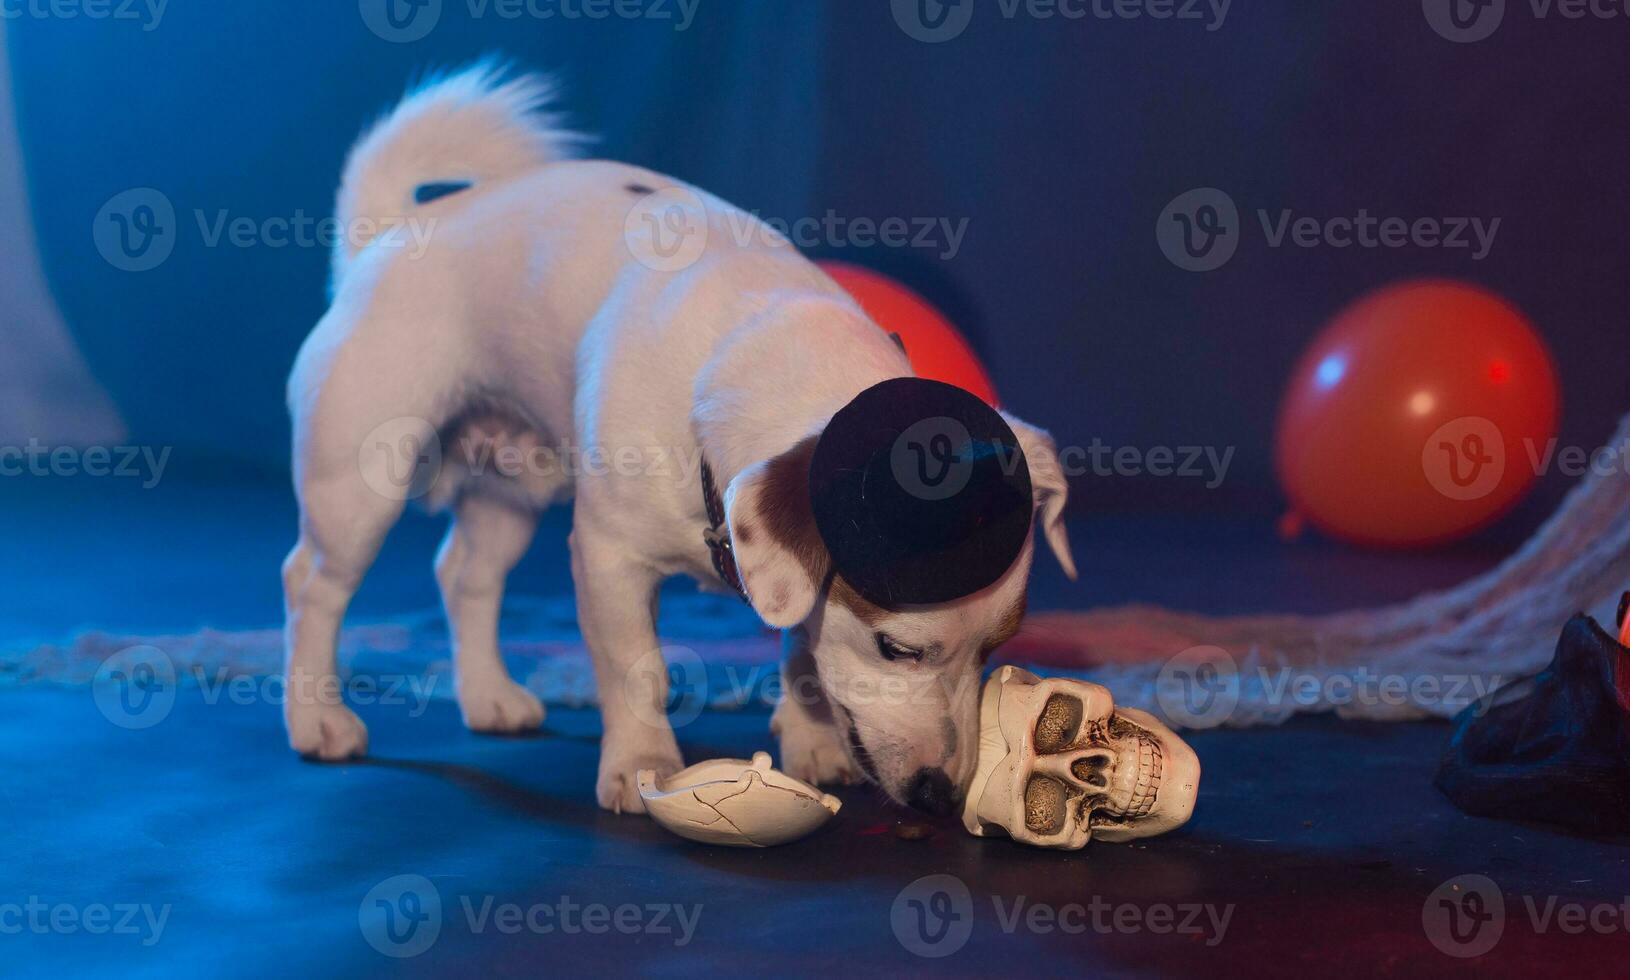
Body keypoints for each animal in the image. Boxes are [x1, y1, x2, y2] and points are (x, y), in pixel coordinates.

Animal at [283, 63, 1069, 818]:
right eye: (895, 647)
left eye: (997, 648)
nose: (943, 796)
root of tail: (389, 234)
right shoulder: (609, 560)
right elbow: (639, 670)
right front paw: (642, 766)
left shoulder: (793, 580)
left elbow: (803, 654)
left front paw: (810, 740)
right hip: (357, 489)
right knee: (312, 586)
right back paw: (317, 718)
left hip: (511, 493)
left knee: (464, 576)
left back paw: (487, 696)